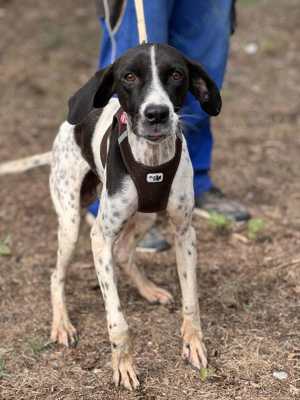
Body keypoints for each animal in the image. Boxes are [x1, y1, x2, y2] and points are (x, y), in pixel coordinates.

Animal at [0, 44, 220, 390]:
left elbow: (191, 300)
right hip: (71, 224)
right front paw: (124, 366)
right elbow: (118, 321)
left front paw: (193, 343)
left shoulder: (185, 232)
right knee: (56, 275)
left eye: (176, 74)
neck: (151, 159)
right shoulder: (99, 238)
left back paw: (149, 290)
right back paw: (62, 324)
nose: (156, 113)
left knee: (126, 251)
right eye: (129, 76)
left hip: (144, 216)